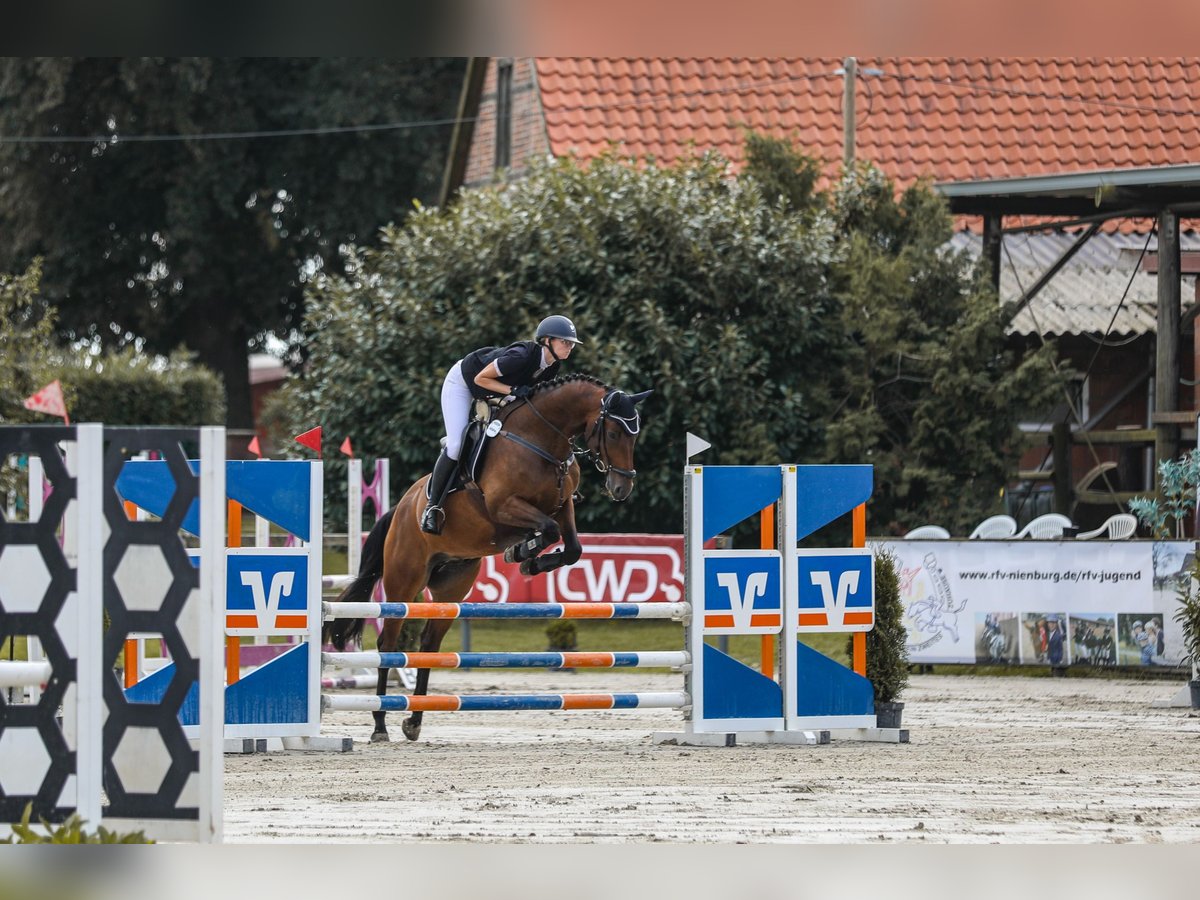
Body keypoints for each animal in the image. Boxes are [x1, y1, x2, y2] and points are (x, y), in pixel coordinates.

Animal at [324, 374, 652, 739]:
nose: (621, 488)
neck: (541, 440)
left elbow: (572, 547)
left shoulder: (563, 504)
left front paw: (529, 558)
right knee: (388, 644)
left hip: (452, 586)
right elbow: (549, 530)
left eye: (635, 434)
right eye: (614, 433)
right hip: (403, 581)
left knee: (428, 644)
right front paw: (522, 551)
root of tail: (401, 508)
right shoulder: (504, 506)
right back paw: (381, 723)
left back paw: (414, 720)